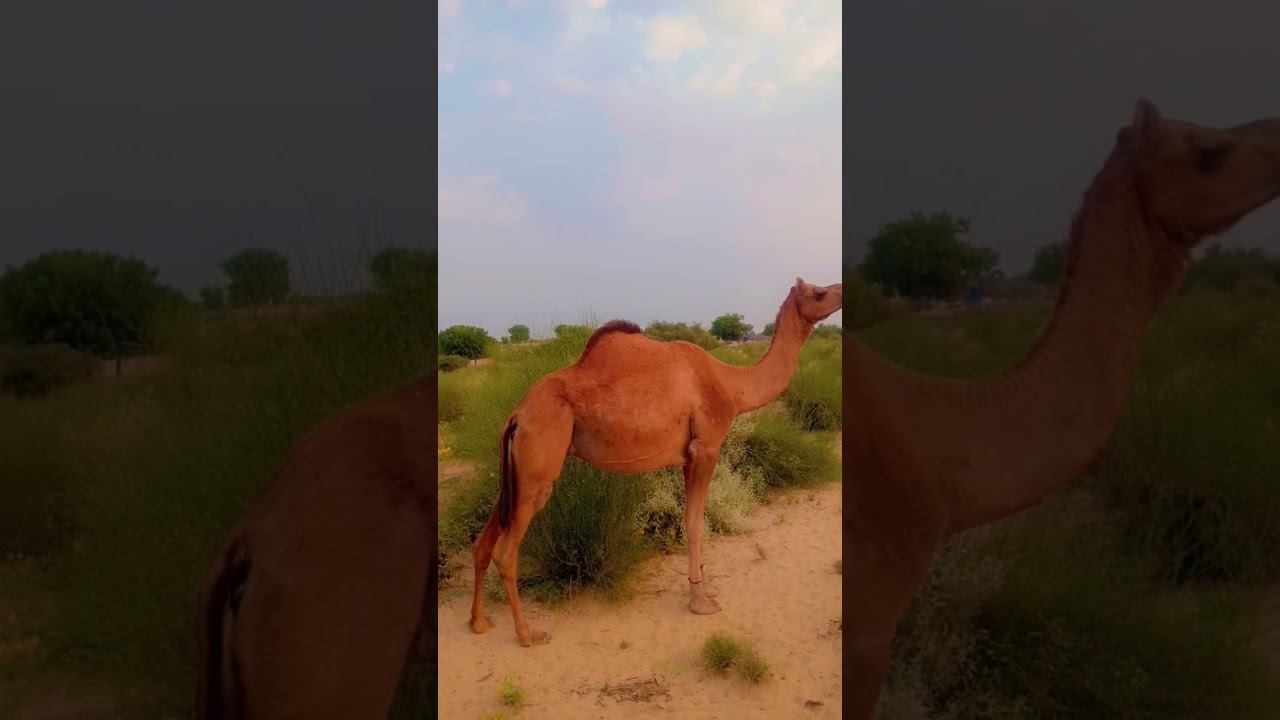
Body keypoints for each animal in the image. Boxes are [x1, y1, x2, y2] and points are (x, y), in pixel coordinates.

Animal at [467, 278, 843, 647]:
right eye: (818, 292)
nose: (841, 290)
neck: (732, 385)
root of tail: (517, 415)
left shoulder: (687, 457)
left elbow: (692, 518)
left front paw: (705, 587)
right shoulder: (707, 447)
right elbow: (694, 522)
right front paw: (700, 601)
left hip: (514, 475)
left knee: (483, 543)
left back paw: (479, 622)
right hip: (538, 469)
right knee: (506, 552)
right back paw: (528, 633)